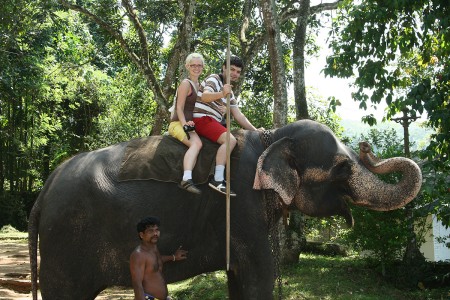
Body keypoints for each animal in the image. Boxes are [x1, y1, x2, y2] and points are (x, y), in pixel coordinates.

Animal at [28, 119, 422, 300]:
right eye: (341, 168)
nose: (368, 146)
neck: (272, 137)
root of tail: (44, 190)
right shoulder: (241, 207)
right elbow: (258, 274)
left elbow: (239, 278)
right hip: (65, 244)